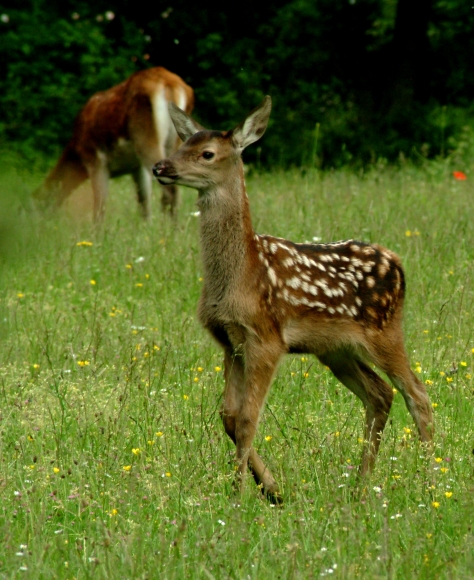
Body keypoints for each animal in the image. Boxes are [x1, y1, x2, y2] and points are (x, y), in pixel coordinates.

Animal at [34, 67, 194, 221]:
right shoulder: (137, 167)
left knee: (170, 191)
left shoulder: (95, 160)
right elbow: (144, 203)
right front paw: (147, 227)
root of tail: (171, 84)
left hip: (146, 140)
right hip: (174, 143)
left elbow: (99, 207)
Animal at [154, 96, 436, 502]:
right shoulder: (229, 340)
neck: (241, 274)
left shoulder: (266, 337)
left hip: (385, 331)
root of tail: (397, 263)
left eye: (207, 153)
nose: (161, 166)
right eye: (180, 145)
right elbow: (228, 416)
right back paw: (360, 486)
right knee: (380, 394)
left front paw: (239, 494)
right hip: (335, 349)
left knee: (417, 394)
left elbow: (247, 418)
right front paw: (271, 488)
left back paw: (432, 482)